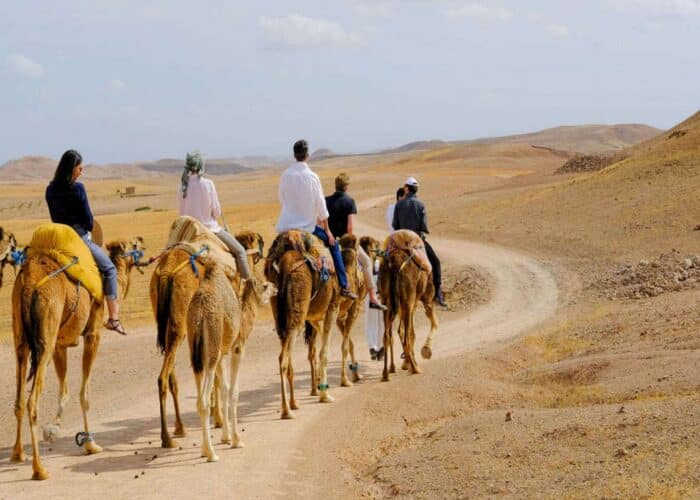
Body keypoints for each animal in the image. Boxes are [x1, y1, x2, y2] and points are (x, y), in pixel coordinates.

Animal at [11, 231, 145, 480]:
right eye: (133, 244)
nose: (142, 240)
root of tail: (29, 283)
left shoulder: (60, 344)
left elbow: (64, 390)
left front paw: (53, 429)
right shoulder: (92, 333)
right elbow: (85, 393)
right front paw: (90, 444)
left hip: (21, 337)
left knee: (19, 399)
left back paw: (18, 454)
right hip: (45, 334)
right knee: (32, 401)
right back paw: (39, 468)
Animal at [150, 221, 266, 448]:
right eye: (258, 241)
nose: (260, 254)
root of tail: (167, 272)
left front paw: (216, 416)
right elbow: (217, 379)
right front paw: (219, 420)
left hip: (169, 326)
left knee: (170, 376)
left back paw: (178, 428)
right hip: (181, 326)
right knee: (163, 377)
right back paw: (167, 438)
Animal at [186, 260, 274, 462]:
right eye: (265, 285)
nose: (275, 287)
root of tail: (200, 312)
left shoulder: (221, 354)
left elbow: (225, 389)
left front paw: (225, 437)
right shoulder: (237, 348)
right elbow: (234, 391)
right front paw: (236, 440)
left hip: (197, 352)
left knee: (199, 395)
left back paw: (205, 450)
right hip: (211, 345)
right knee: (203, 401)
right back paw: (212, 454)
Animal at [266, 230, 342, 418]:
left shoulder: (313, 317)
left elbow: (315, 350)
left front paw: (318, 388)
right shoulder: (332, 307)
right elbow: (323, 352)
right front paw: (325, 395)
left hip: (279, 312)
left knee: (288, 356)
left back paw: (293, 404)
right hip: (298, 312)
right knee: (283, 359)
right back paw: (286, 411)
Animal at [378, 229, 438, 380]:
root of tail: (394, 261)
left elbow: (407, 331)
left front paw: (406, 363)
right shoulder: (426, 299)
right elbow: (433, 324)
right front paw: (426, 350)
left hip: (387, 301)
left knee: (387, 335)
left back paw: (386, 373)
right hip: (408, 300)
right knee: (405, 336)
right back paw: (415, 369)